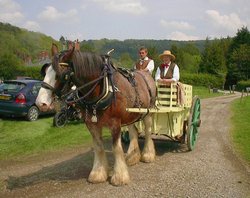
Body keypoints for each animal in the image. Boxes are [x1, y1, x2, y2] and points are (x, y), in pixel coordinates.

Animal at [35, 43, 156, 186]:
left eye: (62, 74)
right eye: (45, 71)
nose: (41, 103)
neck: (103, 87)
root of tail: (146, 75)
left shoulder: (115, 123)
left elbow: (116, 148)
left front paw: (120, 176)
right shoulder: (91, 124)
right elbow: (98, 147)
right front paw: (98, 174)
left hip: (148, 112)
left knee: (148, 132)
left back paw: (148, 155)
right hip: (130, 114)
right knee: (133, 132)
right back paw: (132, 157)